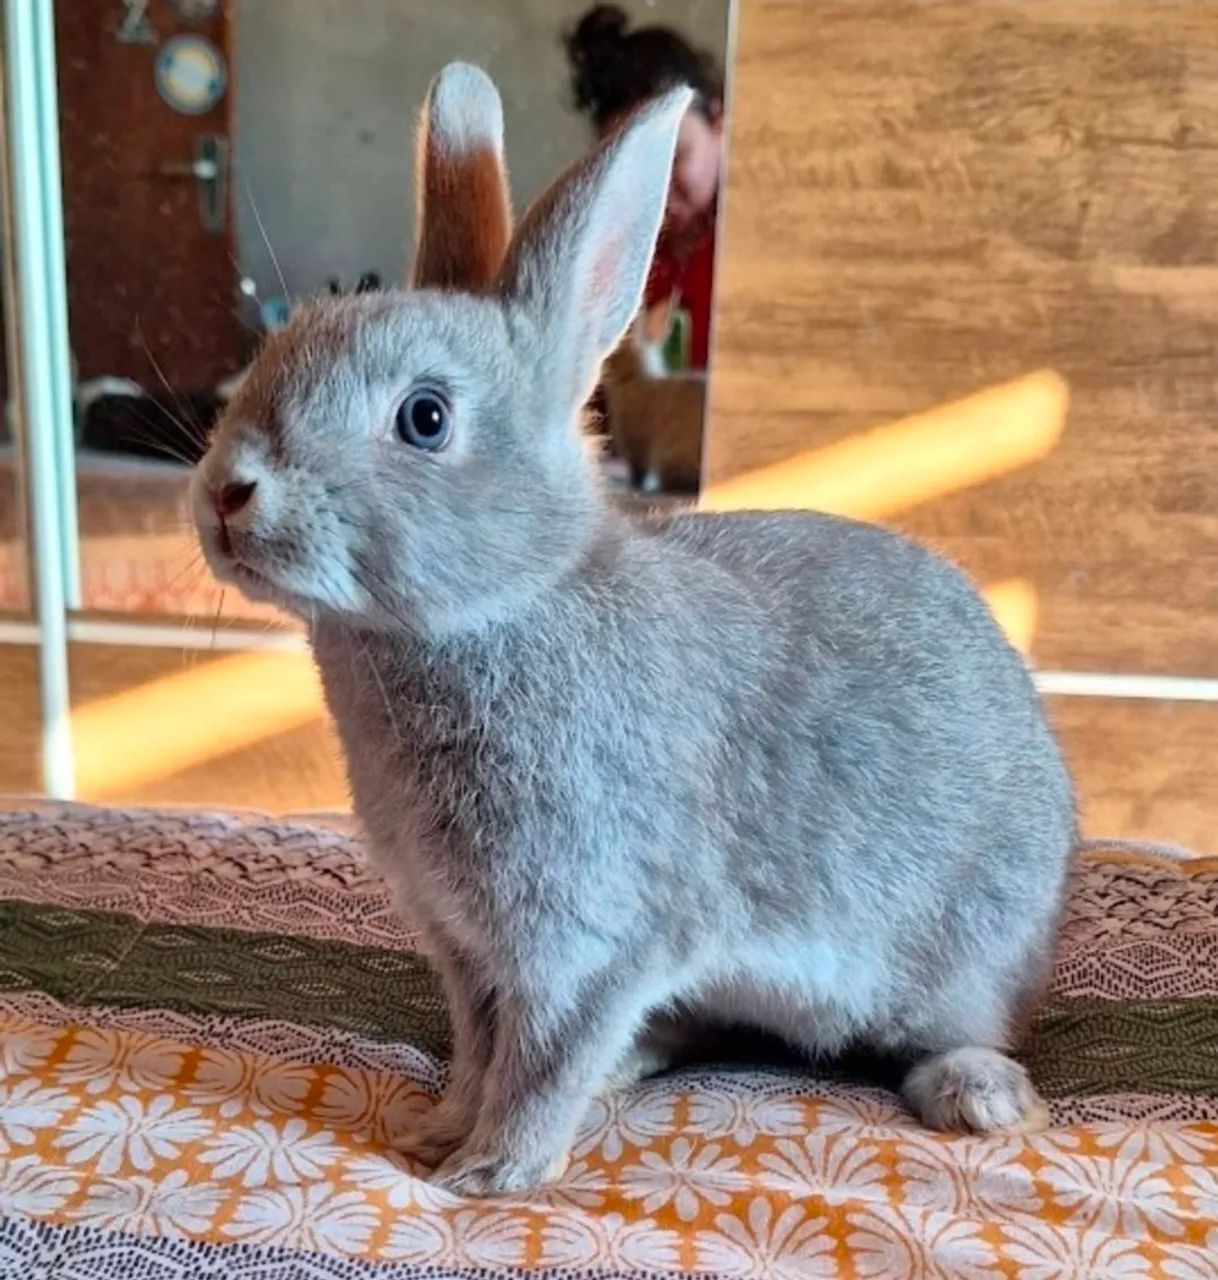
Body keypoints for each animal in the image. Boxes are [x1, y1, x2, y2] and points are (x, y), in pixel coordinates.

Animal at [191, 62, 1076, 1197]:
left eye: (425, 418)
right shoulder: (469, 949)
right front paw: (439, 1132)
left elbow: (542, 1057)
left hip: (961, 953)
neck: (511, 601)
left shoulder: (589, 937)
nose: (227, 493)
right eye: (274, 353)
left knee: (952, 1029)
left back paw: (980, 1095)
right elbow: (481, 1047)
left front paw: (491, 1171)